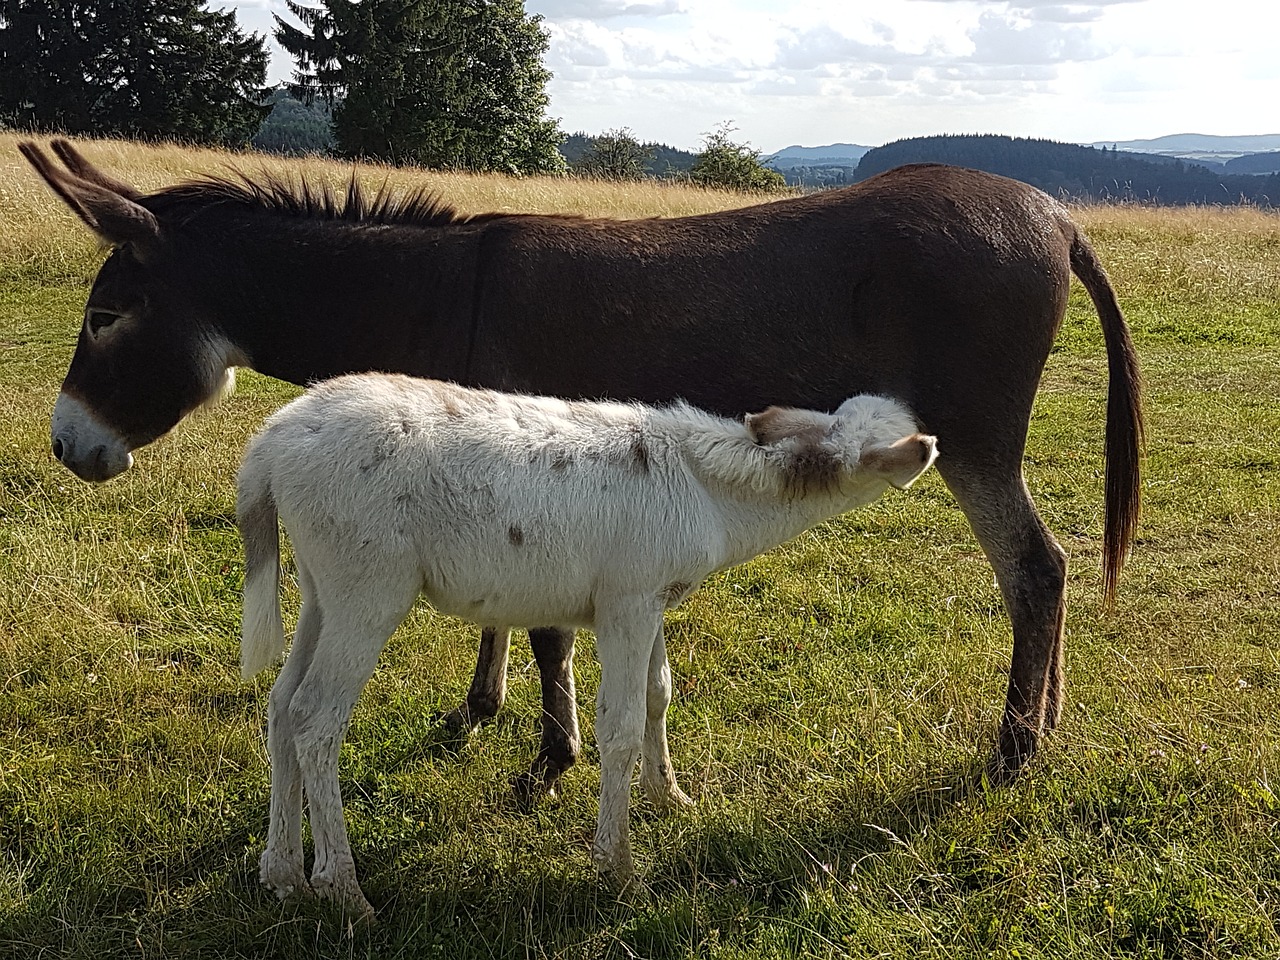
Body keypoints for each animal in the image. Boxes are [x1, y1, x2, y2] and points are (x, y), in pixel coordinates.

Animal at [240, 373, 936, 916]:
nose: (930, 446)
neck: (708, 497)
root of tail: (270, 445)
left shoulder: (651, 598)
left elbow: (659, 695)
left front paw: (672, 798)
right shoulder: (625, 601)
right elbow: (619, 724)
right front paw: (619, 866)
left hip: (321, 590)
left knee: (281, 706)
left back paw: (283, 873)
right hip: (368, 590)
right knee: (316, 721)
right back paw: (342, 890)